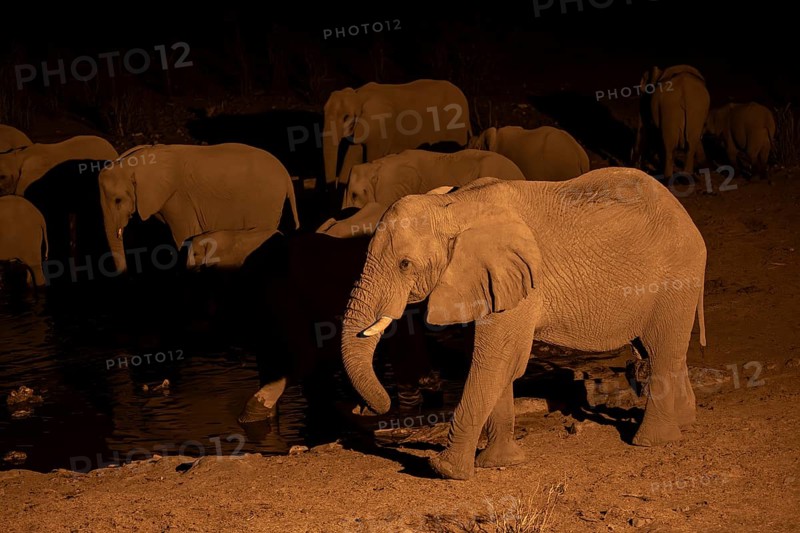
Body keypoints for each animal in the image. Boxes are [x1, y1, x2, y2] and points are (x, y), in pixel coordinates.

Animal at [98, 143, 300, 274]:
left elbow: (185, 233)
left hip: (266, 200)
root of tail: (286, 176)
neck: (134, 163)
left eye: (117, 200)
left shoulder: (177, 197)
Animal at [323, 79, 471, 186]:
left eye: (346, 117)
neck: (358, 94)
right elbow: (351, 159)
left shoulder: (380, 127)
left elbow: (370, 159)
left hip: (455, 127)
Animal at [339, 170, 707, 480]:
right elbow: (499, 364)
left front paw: (445, 470)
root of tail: (687, 218)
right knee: (661, 351)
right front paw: (499, 463)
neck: (454, 207)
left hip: (676, 278)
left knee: (661, 352)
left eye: (404, 264)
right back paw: (685, 423)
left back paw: (652, 440)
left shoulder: (520, 282)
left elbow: (495, 361)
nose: (373, 406)